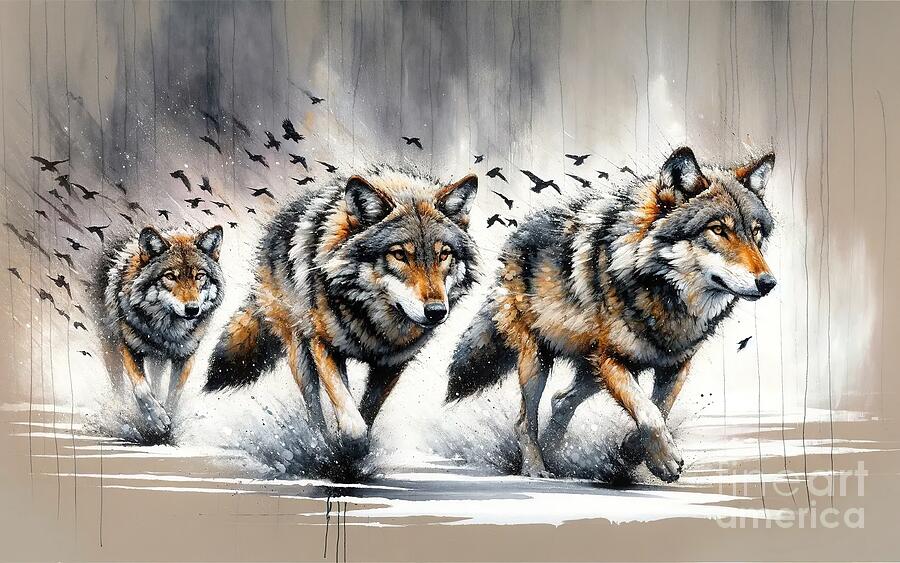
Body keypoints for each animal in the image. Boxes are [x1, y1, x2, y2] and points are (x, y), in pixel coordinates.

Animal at [93, 225, 225, 433]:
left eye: (199, 276)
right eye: (170, 276)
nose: (192, 309)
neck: (167, 331)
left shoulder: (185, 357)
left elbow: (174, 394)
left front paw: (168, 417)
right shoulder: (129, 348)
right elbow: (142, 389)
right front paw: (157, 418)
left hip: (158, 361)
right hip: (110, 345)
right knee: (118, 384)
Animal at [204, 168, 479, 454]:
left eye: (444, 255)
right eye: (399, 255)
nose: (436, 311)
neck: (375, 325)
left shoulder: (392, 365)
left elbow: (367, 412)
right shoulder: (322, 345)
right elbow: (352, 423)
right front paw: (346, 449)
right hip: (299, 350)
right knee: (313, 404)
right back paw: (318, 442)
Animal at [446, 147, 776, 481]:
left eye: (756, 233)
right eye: (718, 230)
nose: (768, 283)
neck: (663, 298)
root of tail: (513, 242)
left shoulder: (676, 365)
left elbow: (660, 408)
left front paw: (632, 450)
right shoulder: (610, 359)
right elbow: (648, 412)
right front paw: (664, 460)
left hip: (589, 370)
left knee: (560, 400)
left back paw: (556, 453)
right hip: (538, 362)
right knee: (525, 421)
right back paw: (537, 468)